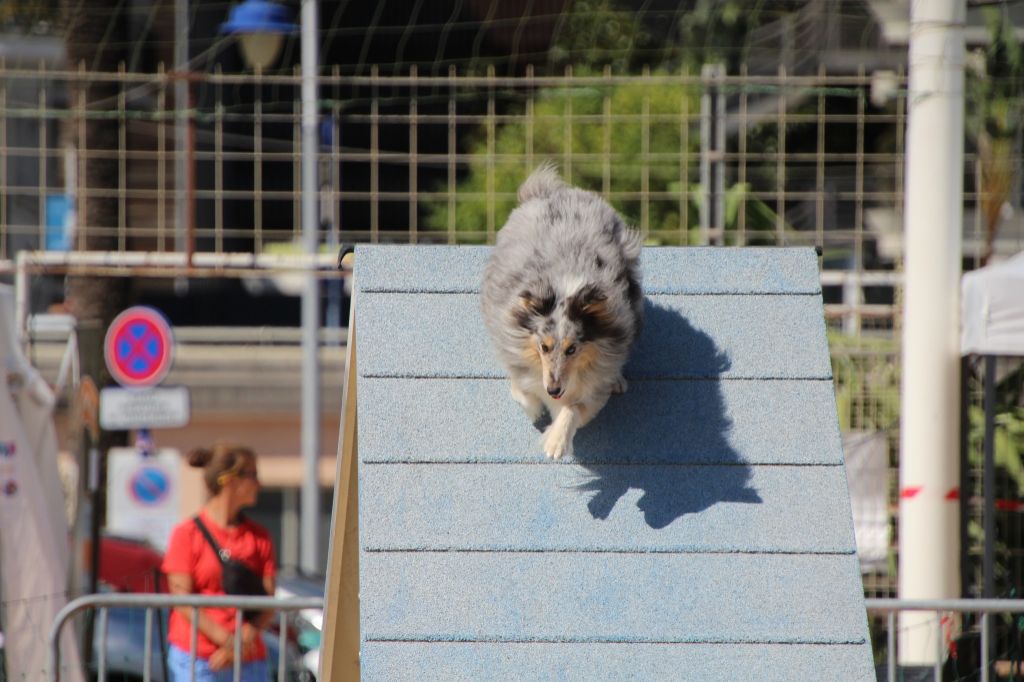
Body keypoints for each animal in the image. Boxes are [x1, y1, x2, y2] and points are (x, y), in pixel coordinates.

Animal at [479, 164, 638, 456]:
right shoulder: (515, 349)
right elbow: (522, 388)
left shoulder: (592, 387)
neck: (566, 289)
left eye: (572, 349)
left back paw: (617, 381)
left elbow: (573, 409)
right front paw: (535, 411)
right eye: (544, 347)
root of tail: (556, 191)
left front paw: (555, 442)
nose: (553, 390)